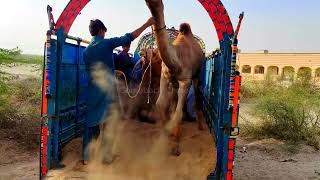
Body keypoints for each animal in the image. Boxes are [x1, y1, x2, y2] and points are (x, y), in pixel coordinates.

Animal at [145, 0, 205, 155]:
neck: (176, 60)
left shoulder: (185, 81)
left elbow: (178, 112)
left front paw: (176, 147)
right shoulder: (164, 77)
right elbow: (160, 105)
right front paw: (166, 139)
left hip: (197, 75)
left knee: (196, 96)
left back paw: (200, 126)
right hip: (173, 83)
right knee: (173, 102)